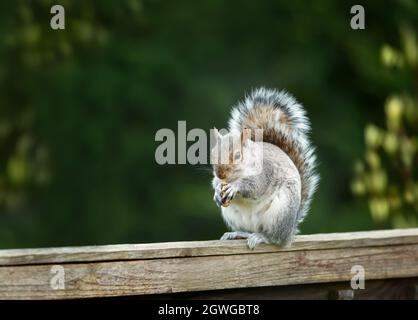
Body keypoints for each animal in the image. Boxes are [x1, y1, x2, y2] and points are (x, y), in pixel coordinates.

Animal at [211, 88, 318, 250]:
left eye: (238, 155)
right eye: (212, 153)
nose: (221, 174)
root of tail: (290, 232)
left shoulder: (266, 171)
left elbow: (255, 186)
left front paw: (235, 187)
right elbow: (215, 182)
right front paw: (218, 191)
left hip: (280, 212)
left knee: (275, 238)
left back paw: (261, 237)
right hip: (234, 216)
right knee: (250, 230)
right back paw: (238, 234)